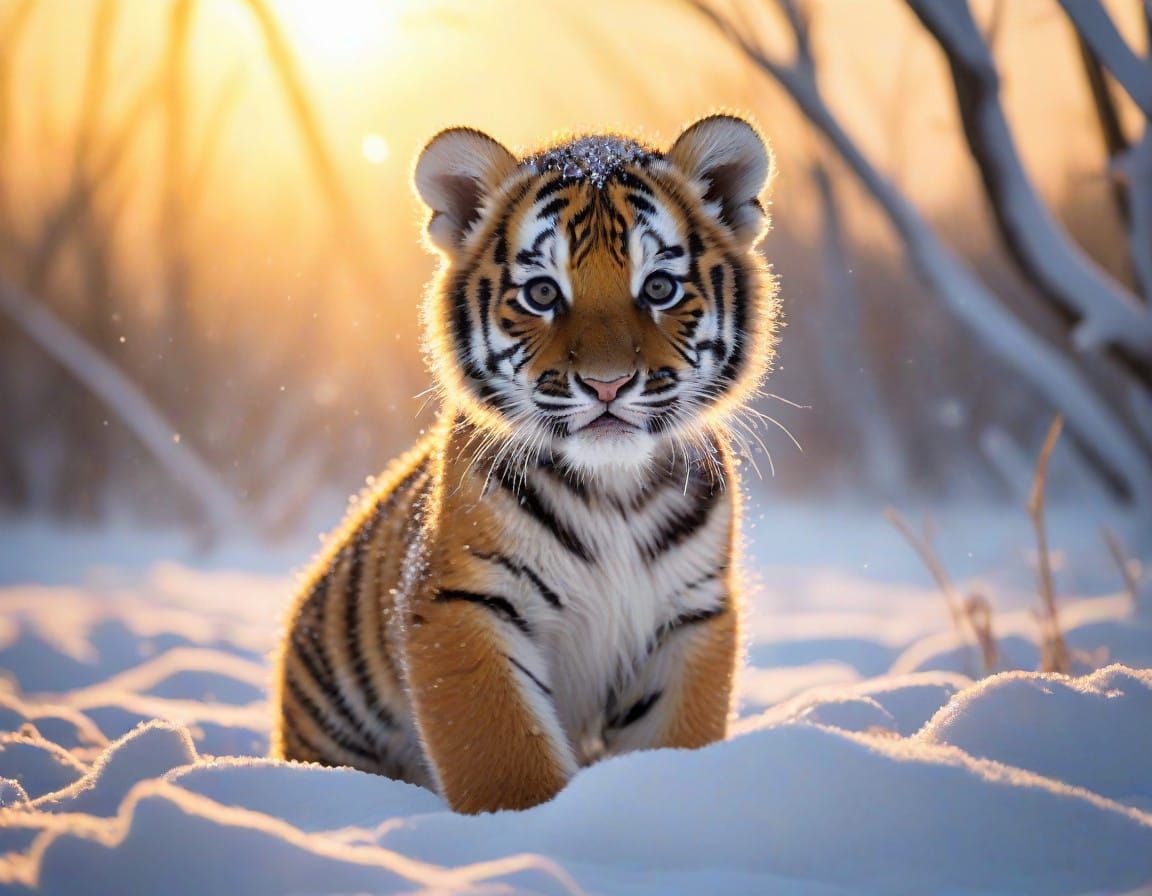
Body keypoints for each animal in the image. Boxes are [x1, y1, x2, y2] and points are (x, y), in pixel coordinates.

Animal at [270, 114, 779, 814]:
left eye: (658, 287)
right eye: (542, 293)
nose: (607, 384)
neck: (614, 489)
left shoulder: (690, 613)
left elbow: (675, 741)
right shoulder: (461, 601)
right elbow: (504, 756)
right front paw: (528, 830)